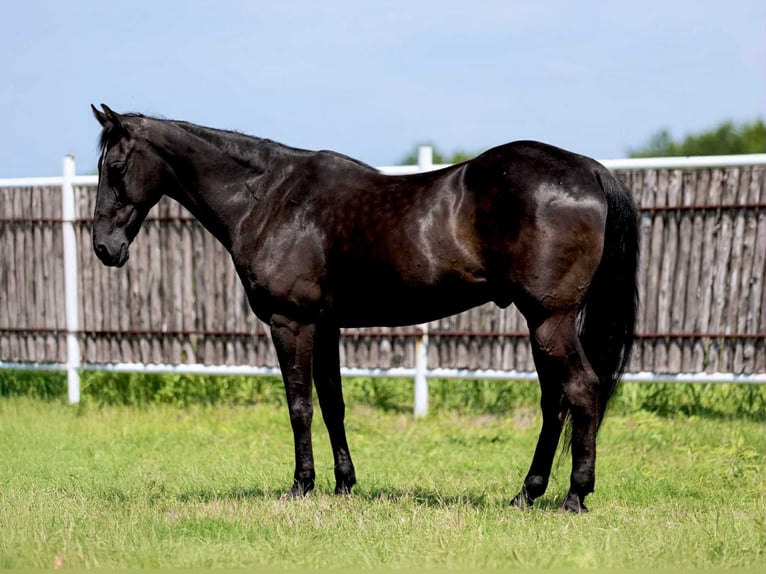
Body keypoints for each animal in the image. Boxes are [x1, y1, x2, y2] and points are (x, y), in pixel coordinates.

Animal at [90, 104, 638, 513]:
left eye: (115, 169)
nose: (104, 248)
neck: (268, 198)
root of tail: (588, 168)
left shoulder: (291, 324)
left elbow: (299, 405)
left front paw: (301, 486)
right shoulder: (326, 326)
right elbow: (333, 404)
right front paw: (344, 484)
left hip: (550, 320)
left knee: (581, 391)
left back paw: (574, 495)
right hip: (541, 323)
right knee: (554, 403)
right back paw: (527, 493)